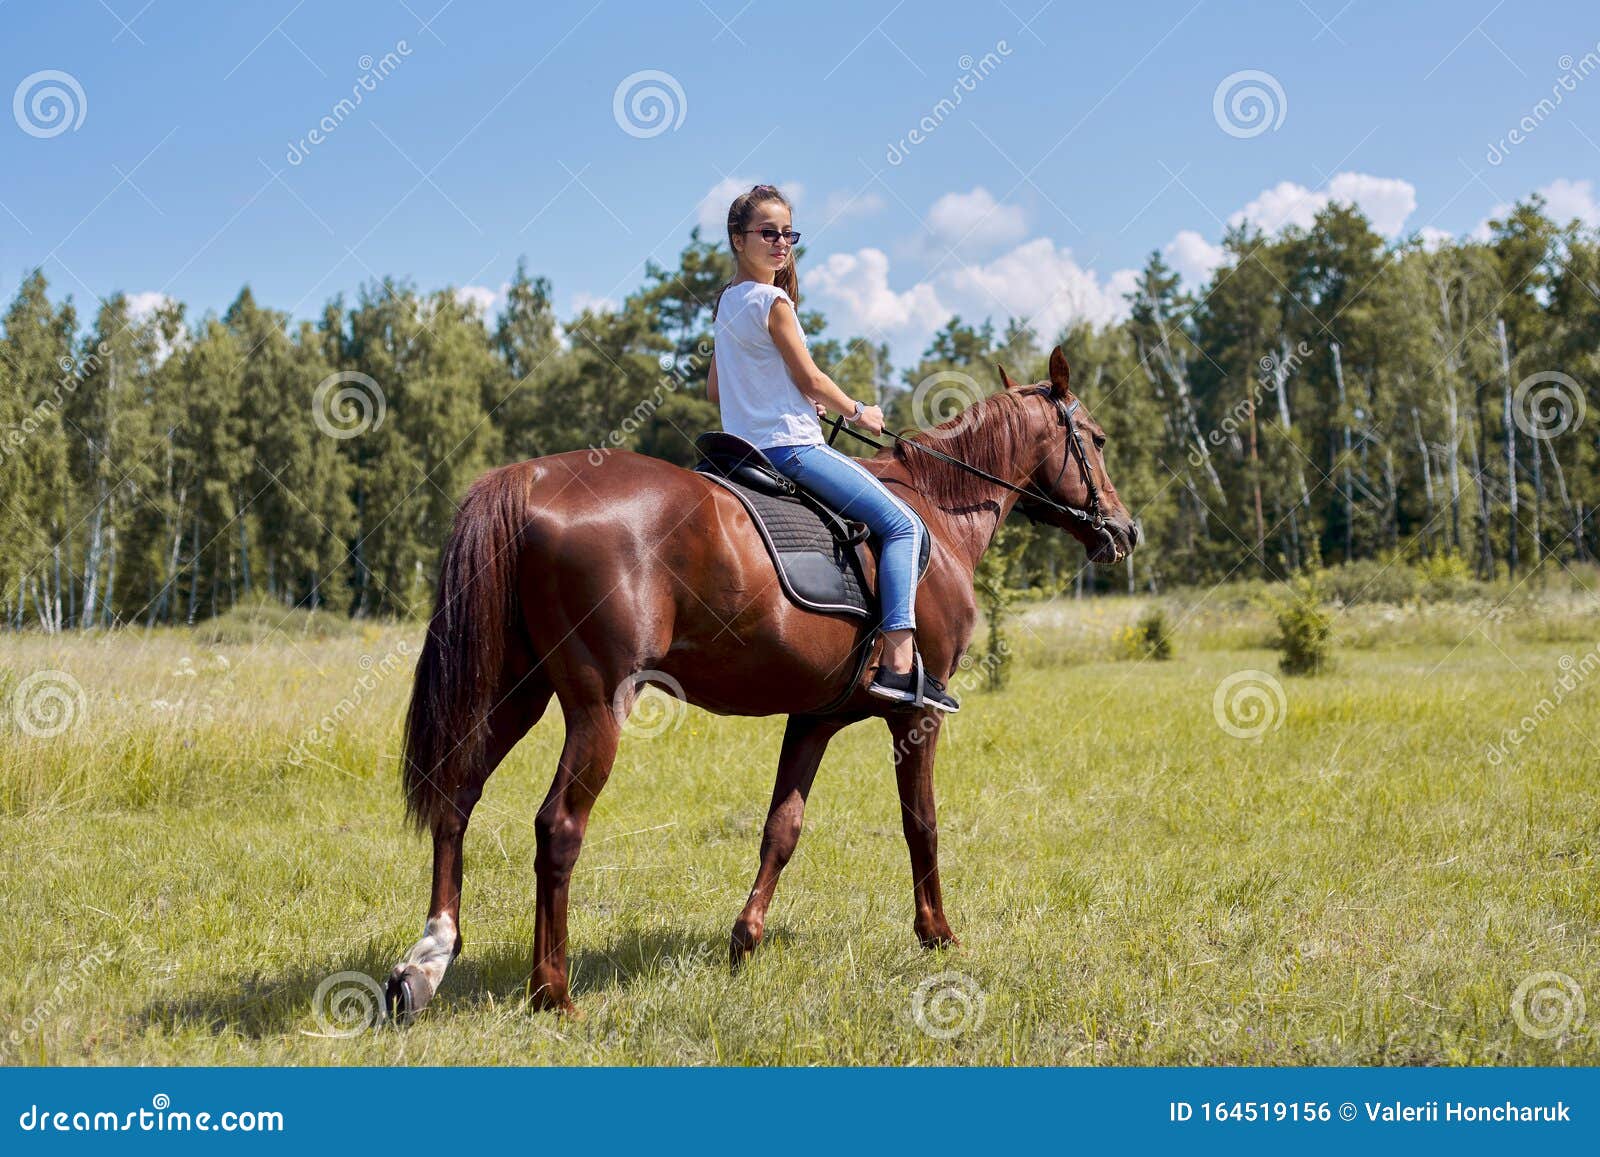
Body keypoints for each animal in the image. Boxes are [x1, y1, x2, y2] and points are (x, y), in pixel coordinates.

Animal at [387, 348, 1139, 1017]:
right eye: (1097, 438)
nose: (1124, 529)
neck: (935, 508)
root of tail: (533, 478)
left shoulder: (814, 716)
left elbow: (783, 827)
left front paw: (744, 942)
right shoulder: (917, 716)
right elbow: (920, 822)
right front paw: (937, 934)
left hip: (517, 692)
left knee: (456, 797)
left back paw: (427, 963)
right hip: (599, 705)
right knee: (558, 827)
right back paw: (552, 991)